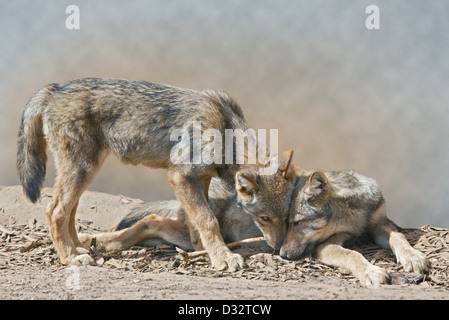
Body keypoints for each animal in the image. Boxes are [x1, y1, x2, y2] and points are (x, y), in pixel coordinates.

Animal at [16, 78, 294, 270]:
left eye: (286, 219)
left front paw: (201, 249)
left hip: (85, 172)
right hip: (82, 170)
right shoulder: (180, 176)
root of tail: (54, 88)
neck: (226, 130)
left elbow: (197, 221)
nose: (280, 250)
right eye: (264, 218)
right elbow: (208, 220)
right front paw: (223, 257)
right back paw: (70, 257)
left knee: (69, 213)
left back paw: (81, 246)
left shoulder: (197, 179)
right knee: (55, 211)